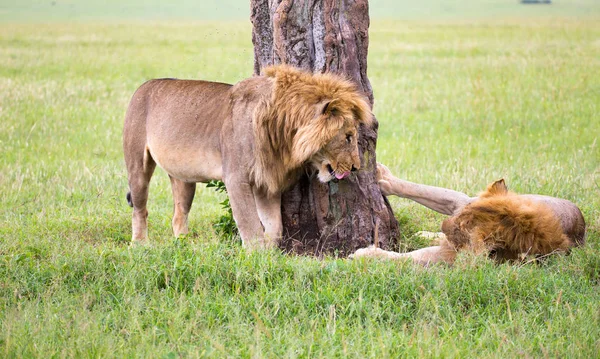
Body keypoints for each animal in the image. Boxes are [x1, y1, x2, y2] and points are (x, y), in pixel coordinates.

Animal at [124, 64, 372, 249]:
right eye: (348, 137)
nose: (356, 167)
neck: (283, 132)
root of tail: (143, 86)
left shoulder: (266, 181)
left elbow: (274, 226)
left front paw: (271, 253)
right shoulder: (235, 178)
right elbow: (250, 224)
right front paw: (256, 258)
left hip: (184, 179)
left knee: (178, 214)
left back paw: (182, 245)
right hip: (137, 164)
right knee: (139, 208)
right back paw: (139, 245)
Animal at [352, 165, 584, 266]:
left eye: (460, 229)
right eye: (460, 217)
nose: (444, 225)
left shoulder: (450, 256)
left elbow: (403, 258)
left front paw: (365, 254)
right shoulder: (461, 203)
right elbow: (424, 190)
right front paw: (382, 177)